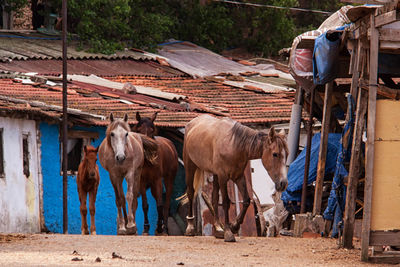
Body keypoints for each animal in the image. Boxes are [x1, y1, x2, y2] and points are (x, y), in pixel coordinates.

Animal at [184, 115, 288, 243]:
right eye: (275, 154)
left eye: (287, 154)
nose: (283, 184)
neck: (235, 145)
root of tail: (192, 122)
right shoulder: (223, 177)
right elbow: (226, 202)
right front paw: (229, 232)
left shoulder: (238, 177)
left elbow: (247, 200)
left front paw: (234, 226)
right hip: (190, 166)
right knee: (190, 192)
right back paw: (190, 228)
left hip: (215, 174)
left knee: (214, 198)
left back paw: (218, 229)